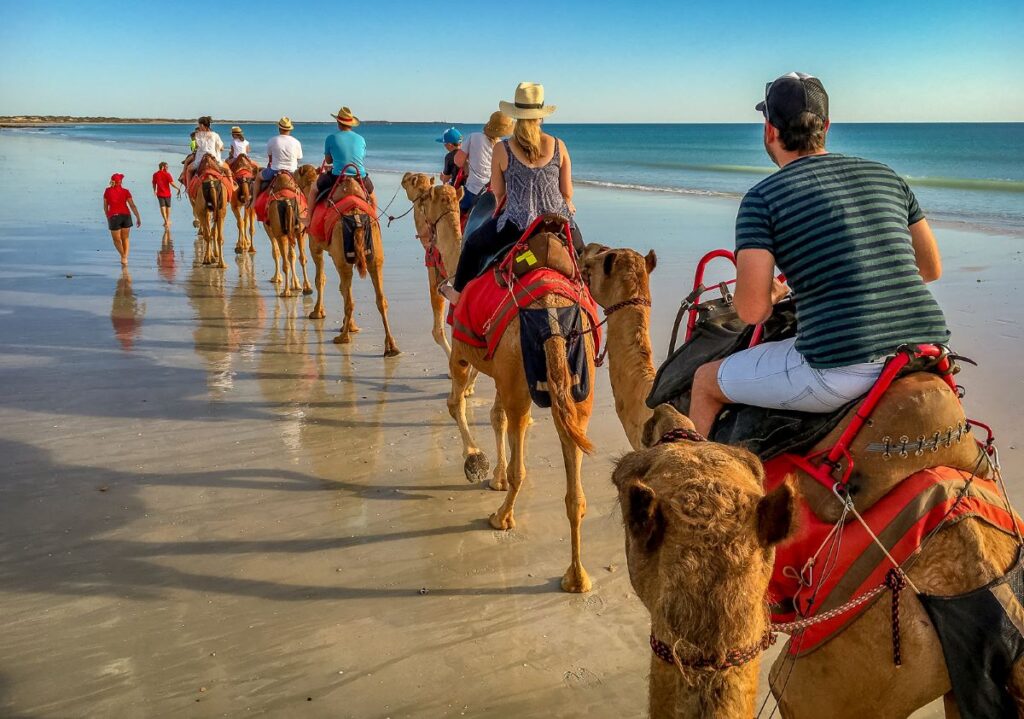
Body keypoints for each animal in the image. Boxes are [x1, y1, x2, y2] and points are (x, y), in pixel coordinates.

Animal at [260, 166, 316, 297]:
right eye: (309, 180)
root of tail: (288, 202)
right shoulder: (295, 232)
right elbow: (293, 255)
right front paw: (296, 284)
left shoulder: (269, 228)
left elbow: (276, 252)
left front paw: (277, 278)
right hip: (299, 231)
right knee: (302, 257)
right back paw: (307, 288)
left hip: (281, 234)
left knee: (285, 262)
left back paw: (285, 292)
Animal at [307, 173, 400, 357]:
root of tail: (357, 220)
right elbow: (342, 288)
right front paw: (349, 325)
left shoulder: (316, 246)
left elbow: (320, 279)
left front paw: (317, 313)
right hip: (375, 256)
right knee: (380, 299)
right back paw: (391, 347)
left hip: (341, 257)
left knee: (349, 299)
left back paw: (343, 338)